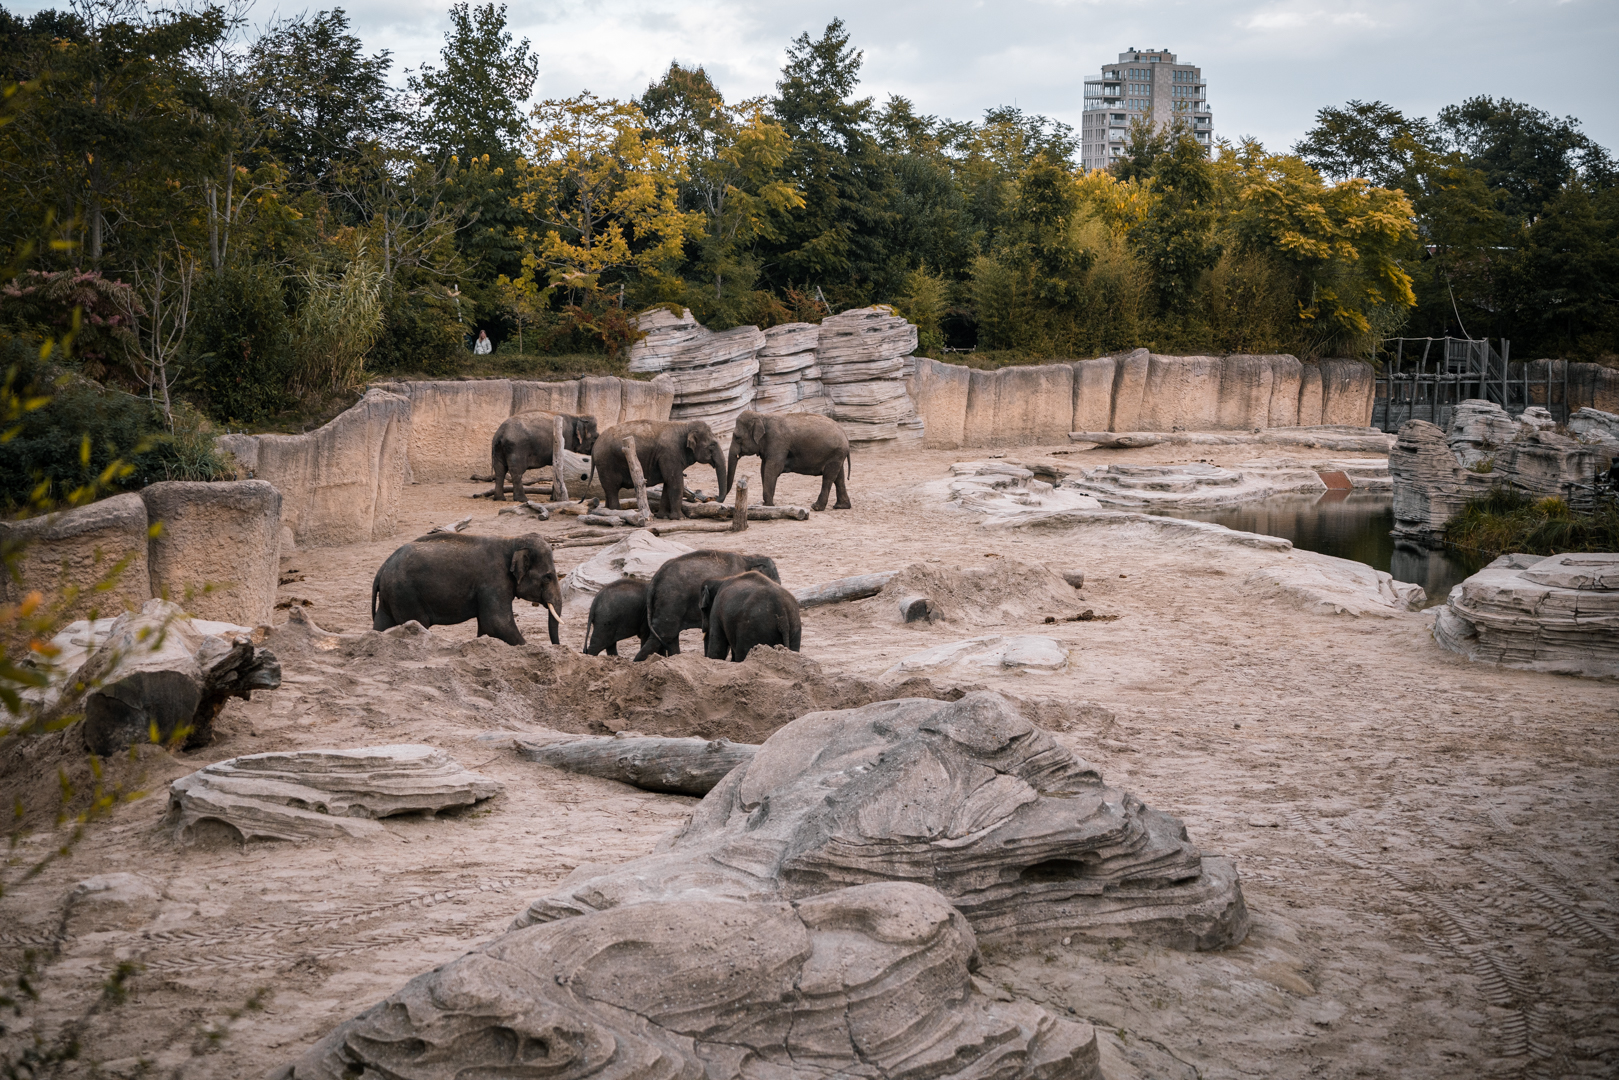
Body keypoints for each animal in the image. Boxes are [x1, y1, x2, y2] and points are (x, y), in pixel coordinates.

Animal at [372, 533, 562, 647]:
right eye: (548, 577)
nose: (556, 646)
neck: (512, 541)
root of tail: (383, 567)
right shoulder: (493, 581)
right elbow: (497, 623)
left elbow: (487, 626)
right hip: (405, 595)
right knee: (417, 623)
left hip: (391, 597)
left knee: (381, 624)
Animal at [590, 420, 728, 520]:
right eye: (713, 444)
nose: (715, 498)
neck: (685, 426)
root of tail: (594, 446)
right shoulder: (669, 454)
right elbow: (675, 481)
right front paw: (680, 518)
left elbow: (668, 482)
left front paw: (663, 516)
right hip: (606, 463)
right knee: (612, 488)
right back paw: (616, 512)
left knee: (608, 489)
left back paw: (606, 511)